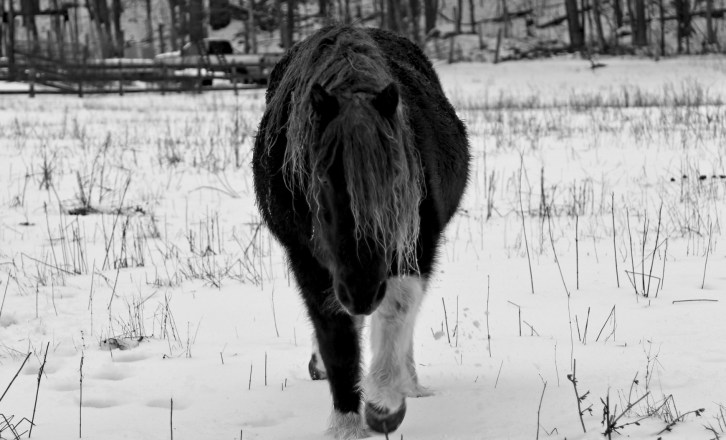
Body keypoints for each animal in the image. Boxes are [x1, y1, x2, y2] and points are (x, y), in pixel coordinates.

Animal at [252, 25, 470, 438]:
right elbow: (336, 336)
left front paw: (384, 403)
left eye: (397, 183)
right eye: (320, 182)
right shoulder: (307, 259)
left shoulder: (415, 246)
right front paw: (347, 423)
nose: (361, 293)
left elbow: (397, 314)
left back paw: (409, 382)